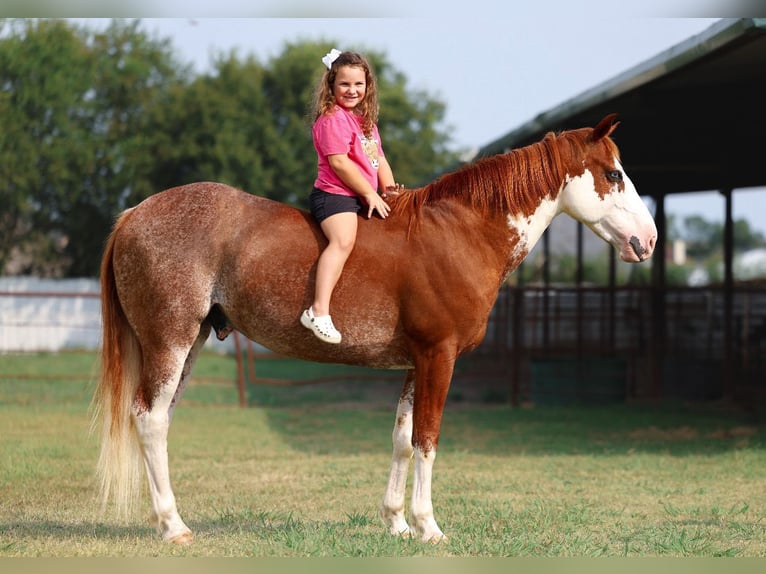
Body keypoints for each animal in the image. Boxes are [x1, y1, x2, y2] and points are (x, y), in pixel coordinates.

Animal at [92, 114, 656, 544]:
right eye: (613, 174)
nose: (648, 240)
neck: (461, 232)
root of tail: (134, 213)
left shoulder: (418, 361)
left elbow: (403, 439)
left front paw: (398, 523)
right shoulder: (439, 356)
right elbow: (428, 439)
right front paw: (429, 527)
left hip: (188, 344)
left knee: (159, 421)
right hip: (170, 341)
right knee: (150, 420)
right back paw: (173, 527)